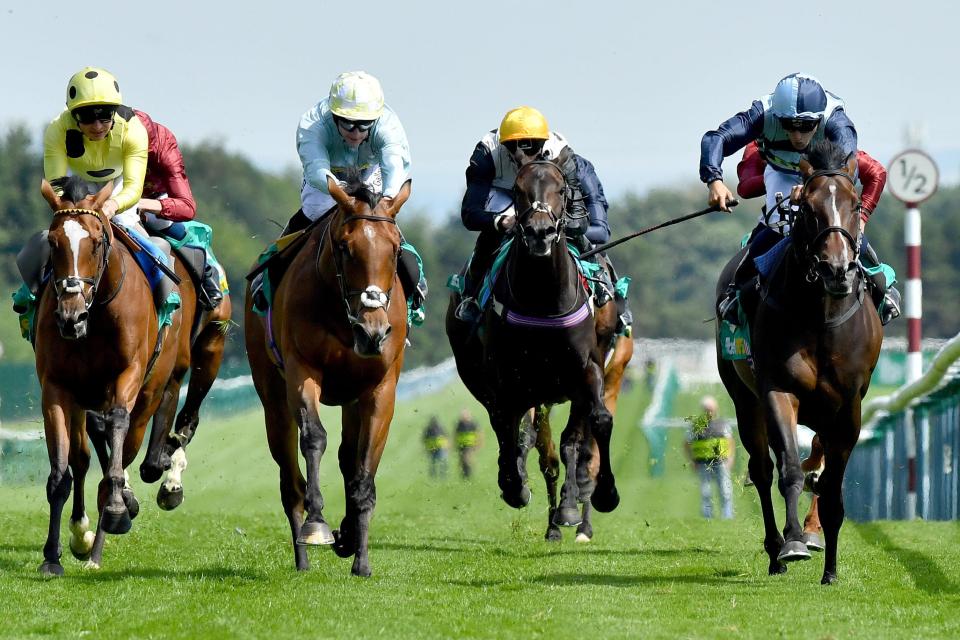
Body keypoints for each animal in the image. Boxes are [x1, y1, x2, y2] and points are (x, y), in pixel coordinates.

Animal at [35, 176, 187, 576]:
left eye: (96, 241)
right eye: (52, 242)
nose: (70, 316)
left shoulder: (127, 376)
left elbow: (117, 429)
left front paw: (119, 509)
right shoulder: (57, 387)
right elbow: (62, 472)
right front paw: (52, 556)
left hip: (151, 391)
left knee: (124, 447)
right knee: (86, 456)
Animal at [246, 174, 410, 576]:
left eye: (395, 249)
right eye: (345, 247)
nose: (373, 332)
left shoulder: (379, 389)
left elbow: (363, 466)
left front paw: (360, 556)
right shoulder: (302, 371)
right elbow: (314, 438)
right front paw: (317, 524)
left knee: (348, 457)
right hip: (273, 399)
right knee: (290, 481)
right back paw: (302, 557)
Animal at [444, 159, 620, 536]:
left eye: (561, 188)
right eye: (518, 190)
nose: (540, 231)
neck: (544, 300)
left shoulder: (586, 369)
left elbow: (594, 423)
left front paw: (600, 494)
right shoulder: (507, 379)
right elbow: (509, 429)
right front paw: (515, 485)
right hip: (482, 376)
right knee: (507, 427)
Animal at [716, 141, 880, 584]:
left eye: (855, 203)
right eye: (806, 207)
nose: (836, 269)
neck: (820, 316)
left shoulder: (848, 407)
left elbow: (831, 486)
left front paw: (831, 569)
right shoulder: (778, 390)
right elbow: (788, 468)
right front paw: (792, 544)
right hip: (744, 399)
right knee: (762, 468)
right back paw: (776, 551)